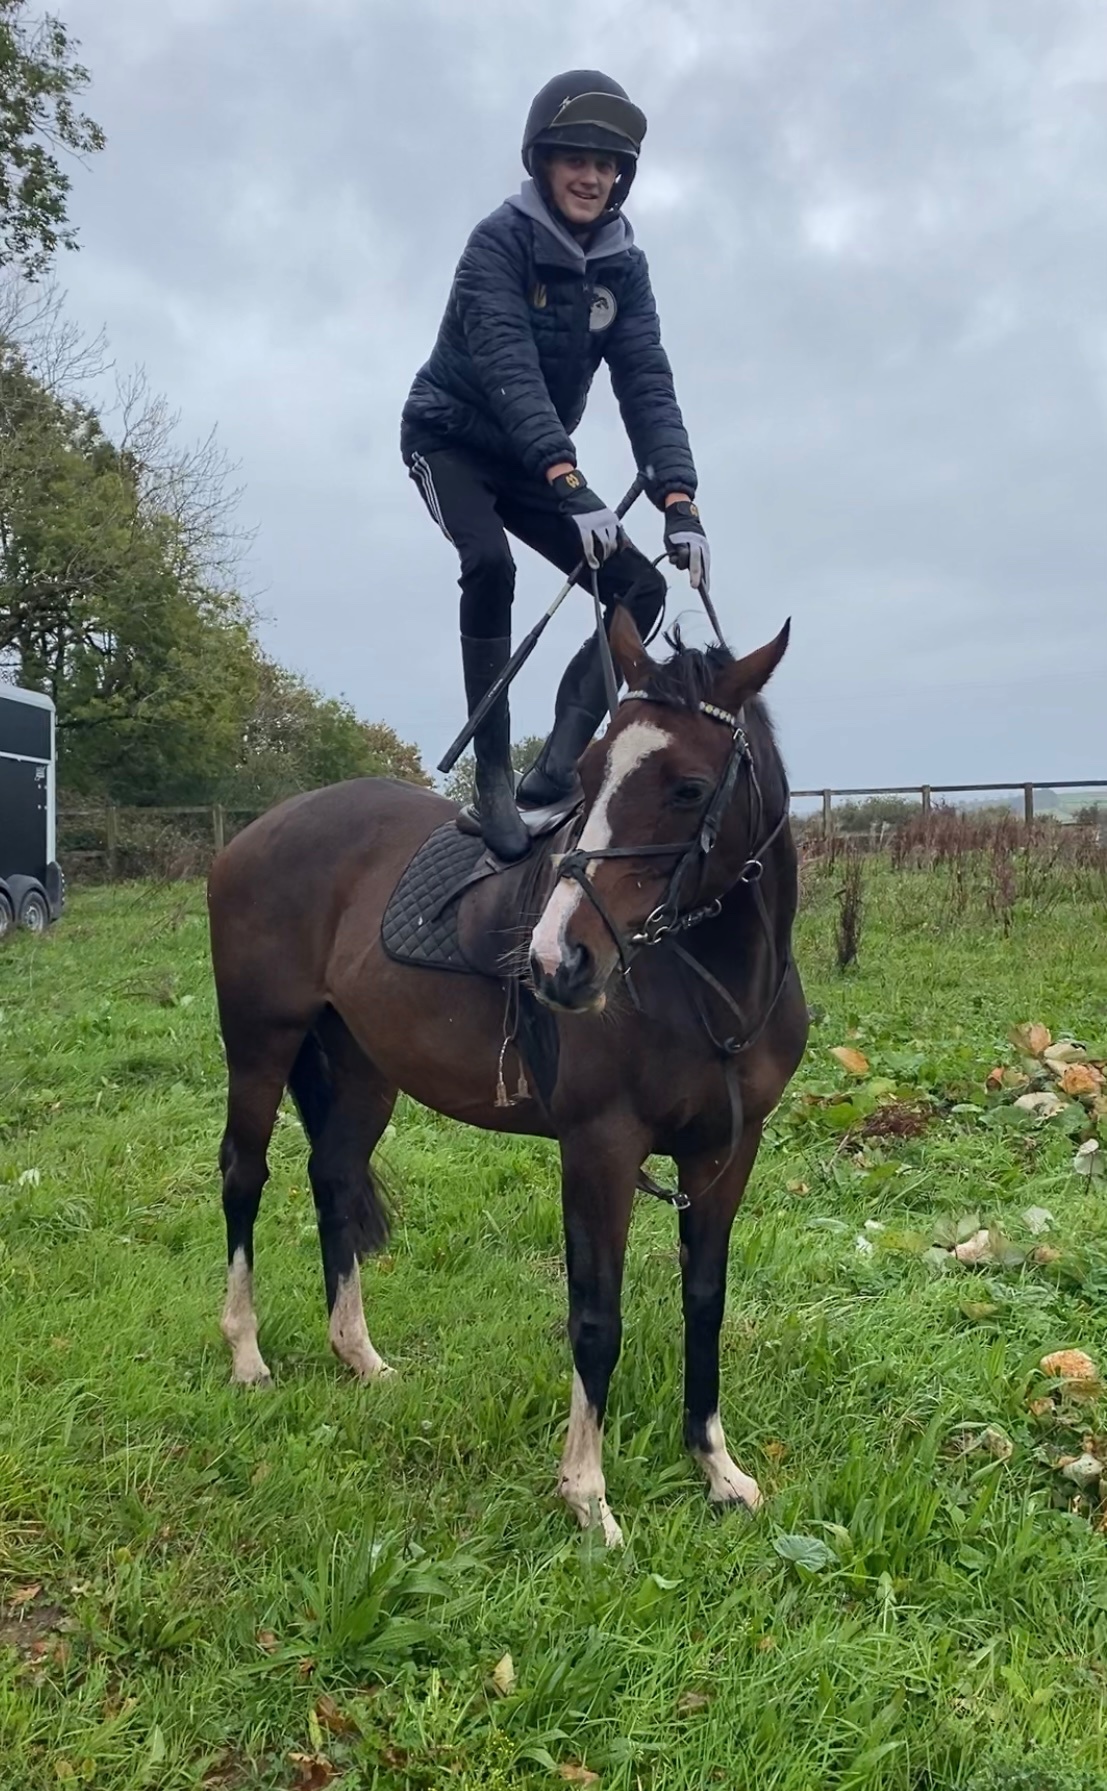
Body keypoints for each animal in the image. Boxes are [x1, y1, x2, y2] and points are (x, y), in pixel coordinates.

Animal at [206, 605, 808, 1545]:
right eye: (589, 774)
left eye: (686, 786)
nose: (557, 961)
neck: (712, 985)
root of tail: (257, 832)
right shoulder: (598, 1147)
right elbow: (595, 1317)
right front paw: (587, 1496)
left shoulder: (725, 1153)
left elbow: (704, 1300)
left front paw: (717, 1470)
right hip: (260, 1042)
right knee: (245, 1173)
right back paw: (246, 1353)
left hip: (363, 1066)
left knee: (332, 1177)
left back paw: (359, 1356)